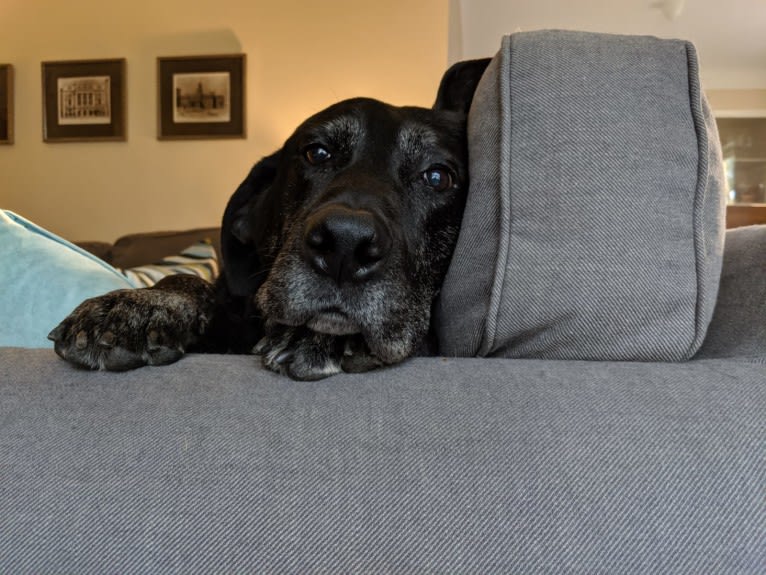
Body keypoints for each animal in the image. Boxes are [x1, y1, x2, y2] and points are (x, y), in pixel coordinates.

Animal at [49, 59, 492, 382]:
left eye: (437, 177)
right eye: (317, 152)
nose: (345, 245)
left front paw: (320, 337)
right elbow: (188, 280)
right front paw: (142, 304)